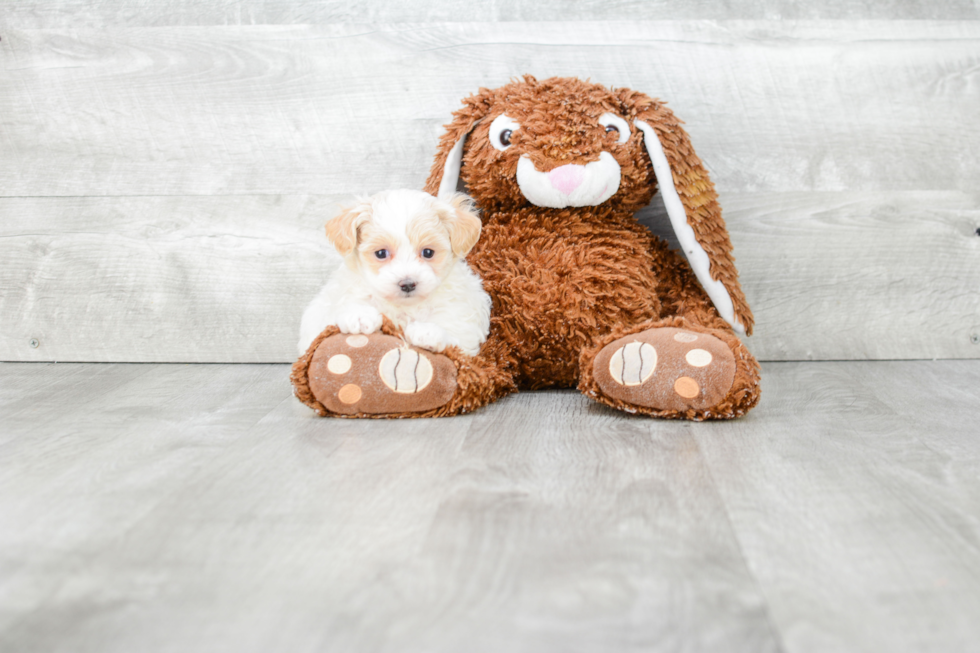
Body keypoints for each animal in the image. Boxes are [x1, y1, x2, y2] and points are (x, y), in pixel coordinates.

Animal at [292, 187, 488, 356]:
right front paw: (359, 314)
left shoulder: (462, 325)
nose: (407, 284)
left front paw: (428, 332)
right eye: (381, 253)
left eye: (428, 252)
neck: (403, 307)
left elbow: (456, 340)